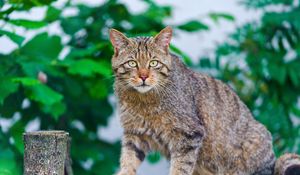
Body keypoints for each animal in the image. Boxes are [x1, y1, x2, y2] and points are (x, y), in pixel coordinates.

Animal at [109, 26, 300, 175]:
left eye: (153, 63)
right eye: (132, 63)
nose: (143, 76)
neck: (143, 100)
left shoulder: (189, 135)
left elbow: (180, 167)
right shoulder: (134, 133)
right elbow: (128, 160)